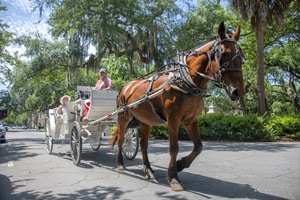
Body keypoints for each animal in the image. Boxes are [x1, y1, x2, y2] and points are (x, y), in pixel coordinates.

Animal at [110, 21, 244, 191]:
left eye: (242, 57)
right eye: (225, 54)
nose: (237, 91)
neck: (186, 80)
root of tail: (125, 86)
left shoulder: (191, 120)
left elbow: (199, 146)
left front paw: (181, 165)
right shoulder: (173, 119)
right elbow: (174, 148)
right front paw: (173, 177)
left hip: (146, 121)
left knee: (143, 145)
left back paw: (148, 170)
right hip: (123, 117)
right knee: (121, 139)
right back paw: (120, 164)